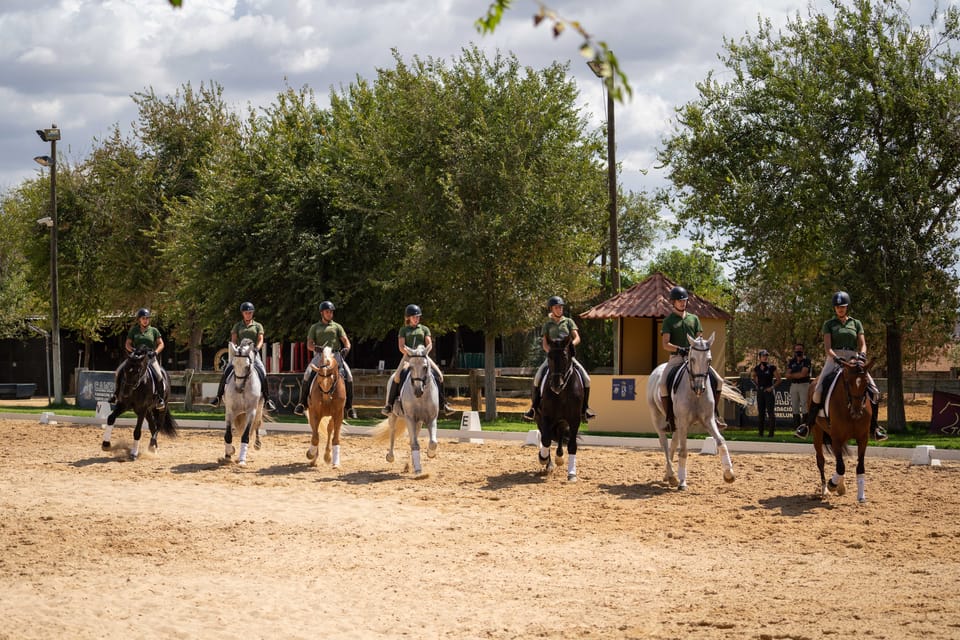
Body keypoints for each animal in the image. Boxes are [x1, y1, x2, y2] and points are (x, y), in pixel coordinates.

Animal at [373, 345, 439, 477]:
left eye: (425, 367)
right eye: (411, 367)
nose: (418, 391)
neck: (421, 398)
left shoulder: (432, 418)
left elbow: (433, 442)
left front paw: (430, 454)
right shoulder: (410, 418)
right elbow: (415, 444)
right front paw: (418, 470)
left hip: (419, 422)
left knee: (413, 438)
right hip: (393, 415)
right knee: (393, 432)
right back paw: (390, 457)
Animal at [535, 333, 583, 482]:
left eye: (565, 357)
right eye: (549, 356)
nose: (556, 385)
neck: (561, 393)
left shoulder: (574, 419)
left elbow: (572, 445)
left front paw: (572, 474)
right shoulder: (545, 417)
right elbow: (545, 439)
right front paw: (543, 458)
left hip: (562, 421)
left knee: (560, 435)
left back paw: (559, 457)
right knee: (548, 437)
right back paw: (549, 463)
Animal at [646, 333, 746, 489]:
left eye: (709, 360)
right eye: (692, 359)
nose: (700, 387)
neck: (694, 394)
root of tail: (657, 370)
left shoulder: (708, 420)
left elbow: (721, 441)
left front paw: (729, 474)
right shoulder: (684, 423)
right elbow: (684, 451)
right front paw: (682, 482)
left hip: (676, 424)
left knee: (673, 444)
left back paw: (668, 475)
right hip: (658, 418)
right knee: (664, 443)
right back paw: (672, 475)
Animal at [811, 357, 873, 503]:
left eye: (866, 383)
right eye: (848, 383)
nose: (857, 412)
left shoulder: (863, 438)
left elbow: (860, 466)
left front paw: (861, 496)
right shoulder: (836, 438)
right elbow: (840, 467)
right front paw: (832, 484)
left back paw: (840, 485)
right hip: (817, 432)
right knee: (821, 460)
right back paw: (825, 490)